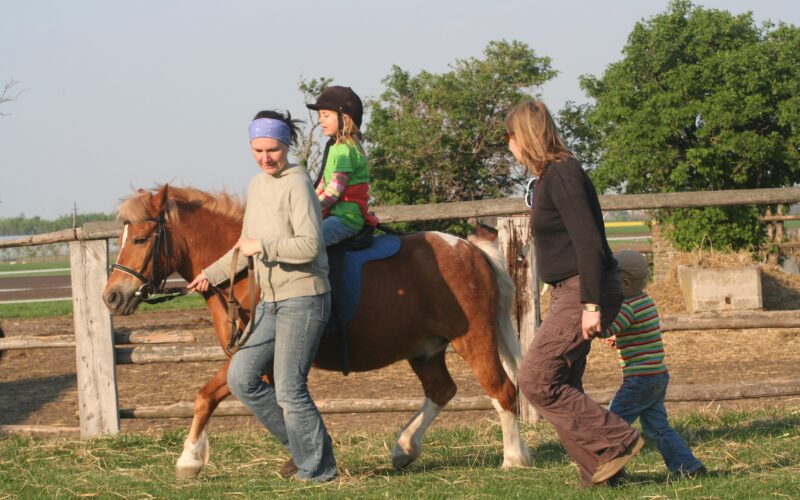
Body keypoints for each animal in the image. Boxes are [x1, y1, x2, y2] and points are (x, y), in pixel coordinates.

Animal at [103, 184, 531, 479]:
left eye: (140, 239)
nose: (111, 296)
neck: (247, 272)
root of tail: (472, 249)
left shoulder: (257, 361)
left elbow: (212, 398)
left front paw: (189, 459)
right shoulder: (256, 364)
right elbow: (224, 399)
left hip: (473, 339)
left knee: (502, 391)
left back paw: (514, 458)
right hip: (425, 350)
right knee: (442, 391)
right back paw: (404, 447)